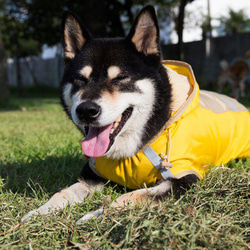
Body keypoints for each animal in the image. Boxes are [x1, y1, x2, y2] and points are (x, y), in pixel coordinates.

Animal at [21, 5, 250, 223]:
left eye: (120, 78)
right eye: (80, 79)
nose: (86, 110)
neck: (128, 153)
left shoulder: (183, 177)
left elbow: (132, 196)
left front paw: (98, 214)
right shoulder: (92, 174)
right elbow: (63, 193)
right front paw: (39, 213)